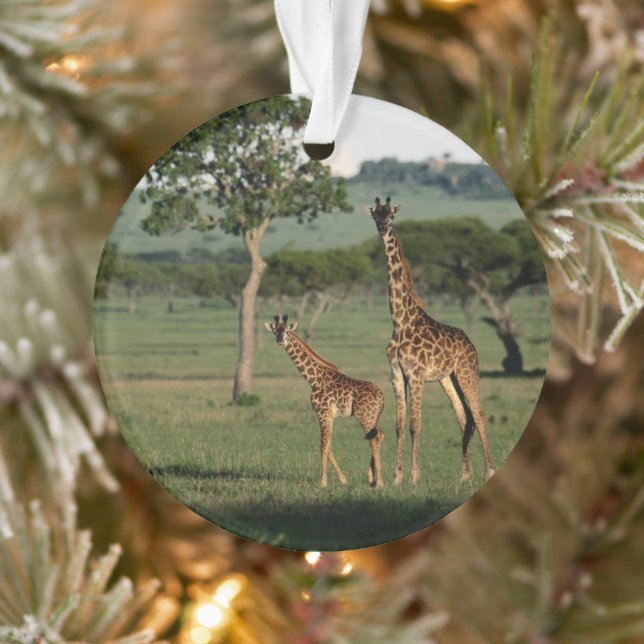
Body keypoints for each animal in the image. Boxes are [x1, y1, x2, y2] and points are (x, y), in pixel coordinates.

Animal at [265, 315, 385, 488]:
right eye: (275, 331)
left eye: (287, 331)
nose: (280, 340)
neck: (314, 379)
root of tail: (382, 397)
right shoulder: (330, 415)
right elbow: (329, 446)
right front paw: (343, 480)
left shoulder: (322, 412)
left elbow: (323, 445)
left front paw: (323, 482)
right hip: (374, 417)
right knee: (379, 435)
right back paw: (372, 478)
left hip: (364, 416)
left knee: (374, 439)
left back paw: (380, 482)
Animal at [367, 196, 495, 484]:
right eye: (375, 215)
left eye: (391, 216)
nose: (382, 228)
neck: (400, 322)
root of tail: (470, 343)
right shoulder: (397, 374)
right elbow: (400, 425)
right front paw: (397, 478)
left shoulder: (415, 375)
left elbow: (415, 425)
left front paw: (414, 477)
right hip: (448, 378)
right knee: (464, 416)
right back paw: (464, 476)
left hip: (467, 372)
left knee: (479, 413)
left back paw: (489, 470)